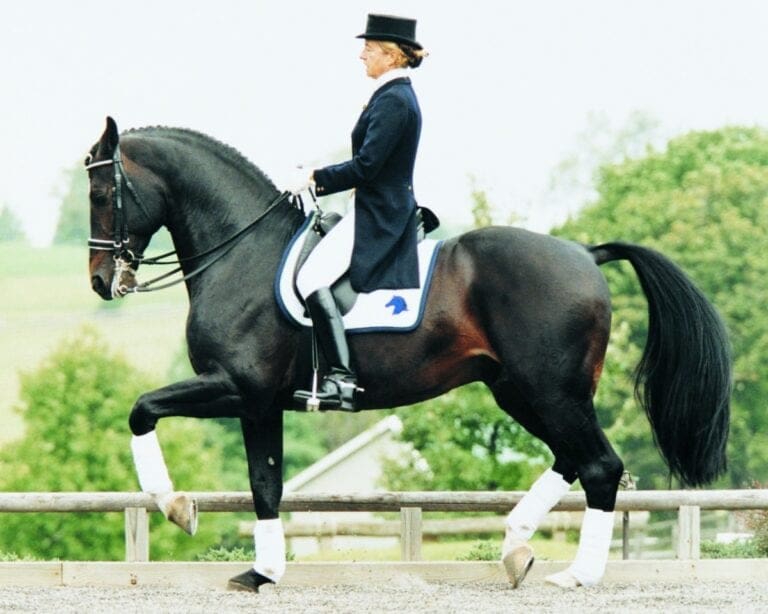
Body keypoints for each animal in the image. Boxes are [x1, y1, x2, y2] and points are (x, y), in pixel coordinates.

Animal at [85, 117, 731, 591]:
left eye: (101, 192)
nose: (99, 281)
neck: (241, 250)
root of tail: (585, 254)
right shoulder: (261, 403)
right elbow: (265, 483)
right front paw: (262, 572)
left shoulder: (238, 387)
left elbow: (142, 410)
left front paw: (176, 506)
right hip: (521, 390)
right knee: (574, 460)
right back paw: (516, 546)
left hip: (552, 391)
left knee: (600, 466)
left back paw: (577, 574)